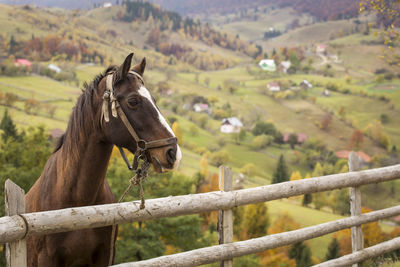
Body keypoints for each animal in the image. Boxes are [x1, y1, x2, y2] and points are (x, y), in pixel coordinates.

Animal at [24, 53, 181, 266]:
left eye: (154, 100)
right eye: (133, 101)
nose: (173, 153)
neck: (79, 206)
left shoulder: (105, 255)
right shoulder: (46, 259)